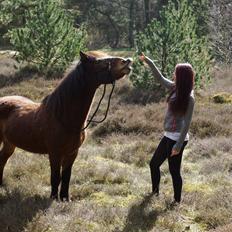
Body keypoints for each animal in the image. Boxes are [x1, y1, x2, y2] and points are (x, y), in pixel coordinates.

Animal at [0, 51, 132, 200]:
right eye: (100, 62)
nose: (127, 61)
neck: (62, 117)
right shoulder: (55, 153)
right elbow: (55, 177)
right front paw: (53, 198)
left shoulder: (72, 153)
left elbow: (66, 177)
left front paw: (64, 198)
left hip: (9, 143)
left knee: (2, 159)